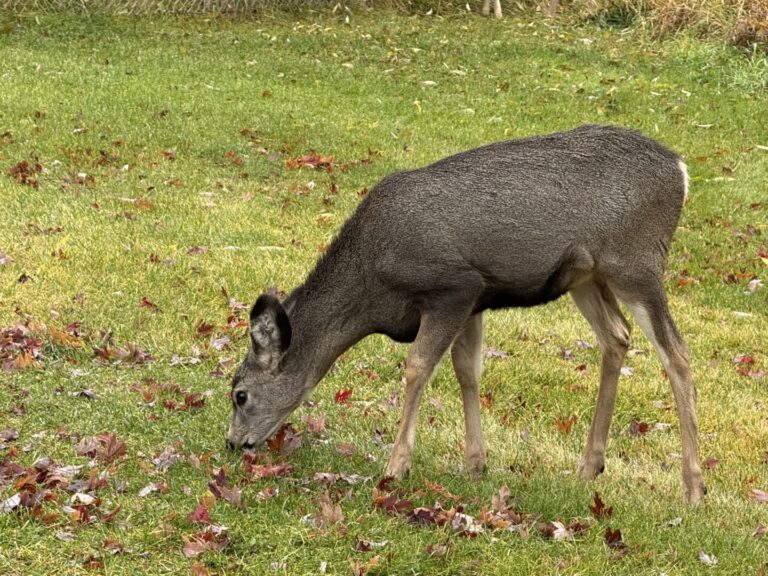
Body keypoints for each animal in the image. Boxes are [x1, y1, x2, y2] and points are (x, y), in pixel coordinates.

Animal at [228, 124, 708, 502]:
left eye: (240, 394)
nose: (234, 444)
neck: (373, 284)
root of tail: (681, 172)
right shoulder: (475, 299)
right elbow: (468, 371)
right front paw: (476, 463)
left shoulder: (452, 287)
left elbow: (418, 367)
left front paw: (396, 466)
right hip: (588, 277)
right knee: (617, 336)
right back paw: (590, 465)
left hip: (637, 263)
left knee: (677, 353)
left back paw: (693, 486)